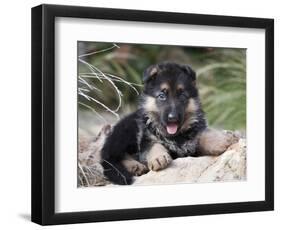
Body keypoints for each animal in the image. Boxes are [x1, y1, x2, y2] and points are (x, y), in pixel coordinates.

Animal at [100, 61, 230, 185]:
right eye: (161, 96)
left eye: (182, 95)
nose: (172, 118)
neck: (176, 136)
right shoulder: (146, 138)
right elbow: (153, 145)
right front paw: (159, 157)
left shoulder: (192, 147)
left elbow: (201, 136)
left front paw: (219, 141)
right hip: (127, 131)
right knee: (113, 157)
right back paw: (135, 166)